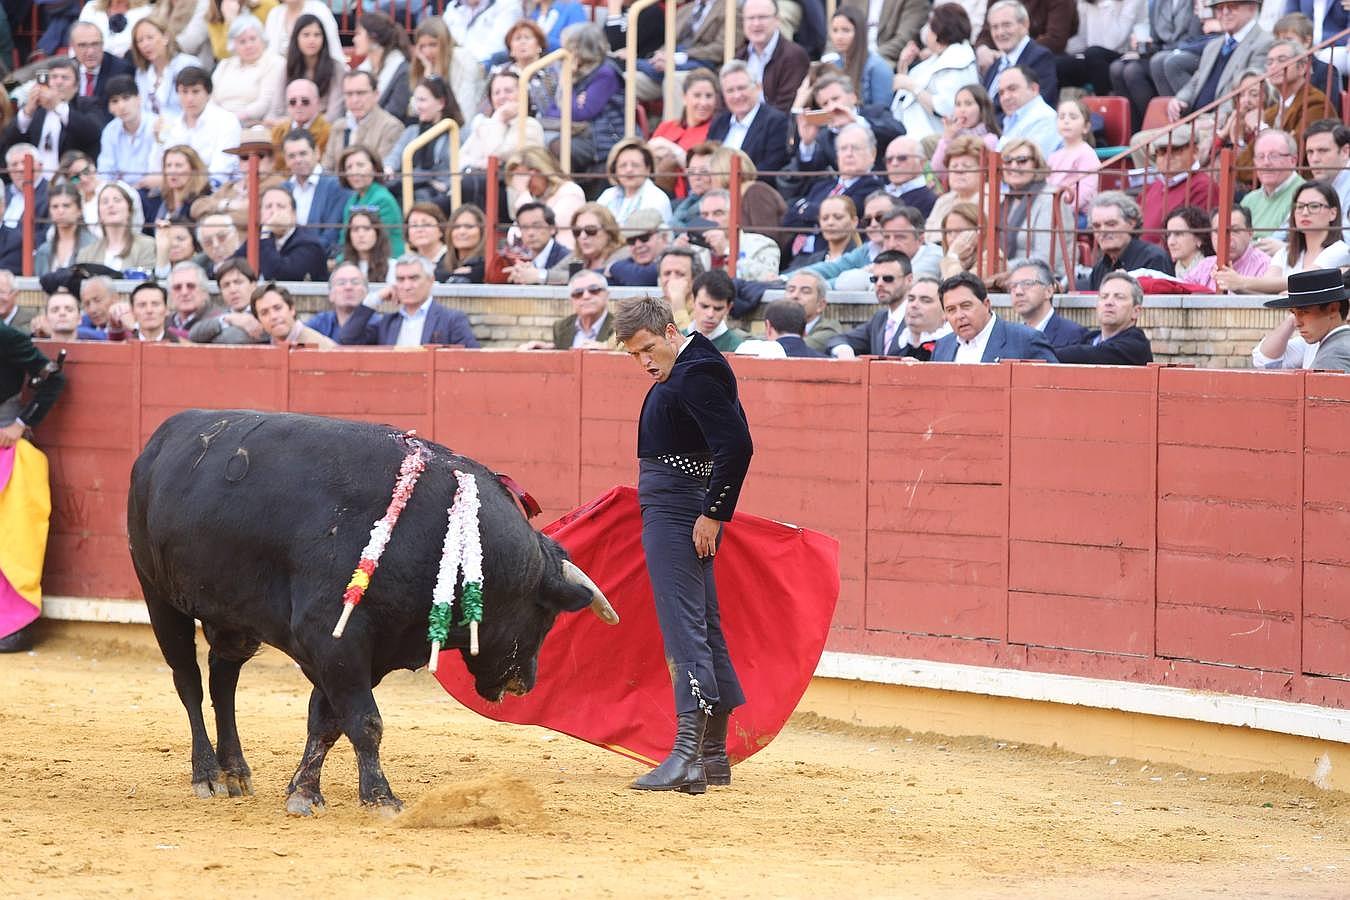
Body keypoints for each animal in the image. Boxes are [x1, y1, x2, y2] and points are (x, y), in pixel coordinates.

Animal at [128, 410, 615, 814]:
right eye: (545, 617)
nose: (524, 683)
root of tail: (163, 436)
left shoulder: (363, 653)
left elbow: (327, 722)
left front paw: (304, 792)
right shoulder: (335, 643)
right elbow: (366, 721)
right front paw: (381, 798)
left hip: (235, 619)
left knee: (223, 680)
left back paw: (236, 773)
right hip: (159, 596)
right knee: (189, 682)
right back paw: (207, 775)